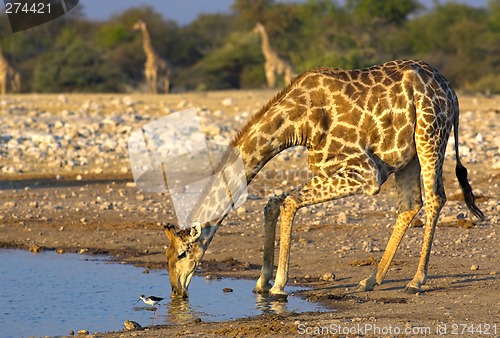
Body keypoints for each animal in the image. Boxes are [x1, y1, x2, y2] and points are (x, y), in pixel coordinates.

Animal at [162, 60, 482, 298]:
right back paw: (371, 280)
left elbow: (289, 203)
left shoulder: (367, 173)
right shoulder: (327, 170)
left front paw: (278, 285)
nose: (176, 291)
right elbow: (273, 203)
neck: (297, 123)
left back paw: (416, 280)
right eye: (166, 254)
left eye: (181, 254)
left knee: (435, 198)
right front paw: (262, 282)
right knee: (410, 204)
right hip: (407, 154)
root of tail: (451, 92)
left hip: (430, 135)